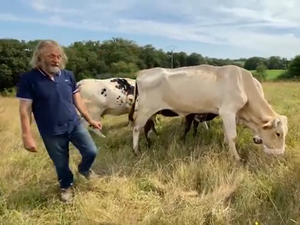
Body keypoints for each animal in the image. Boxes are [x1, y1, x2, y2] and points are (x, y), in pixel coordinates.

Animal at [128, 64, 288, 161]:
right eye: (278, 133)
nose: (280, 154)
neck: (242, 83)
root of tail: (143, 72)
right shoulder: (228, 111)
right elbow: (233, 137)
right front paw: (237, 158)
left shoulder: (225, 114)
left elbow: (226, 134)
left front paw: (225, 145)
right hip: (145, 110)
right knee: (136, 128)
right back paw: (136, 150)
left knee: (146, 128)